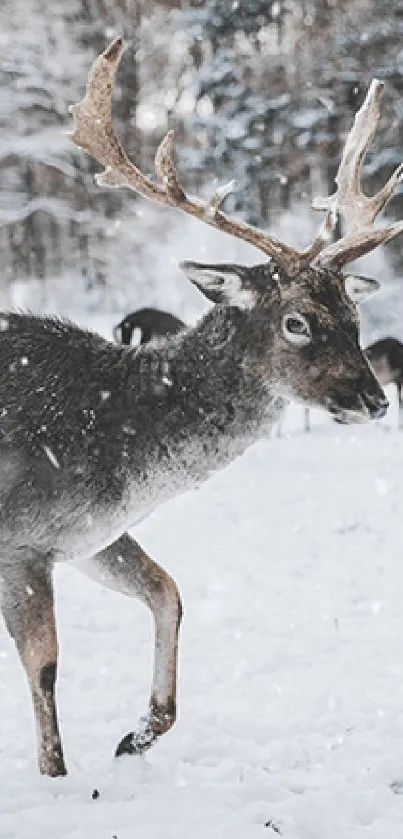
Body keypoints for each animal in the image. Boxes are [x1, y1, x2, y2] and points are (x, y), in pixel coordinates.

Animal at [0, 37, 403, 776]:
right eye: (297, 322)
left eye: (353, 314)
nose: (373, 400)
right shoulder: (20, 537)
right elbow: (44, 666)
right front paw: (56, 776)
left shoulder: (89, 536)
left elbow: (169, 592)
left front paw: (138, 732)